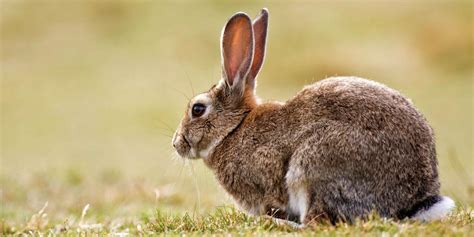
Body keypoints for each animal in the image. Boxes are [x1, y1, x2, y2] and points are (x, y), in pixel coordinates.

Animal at [171, 8, 456, 225]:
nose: (176, 143)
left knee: (316, 223)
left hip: (312, 167)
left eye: (197, 109)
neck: (233, 130)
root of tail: (413, 201)